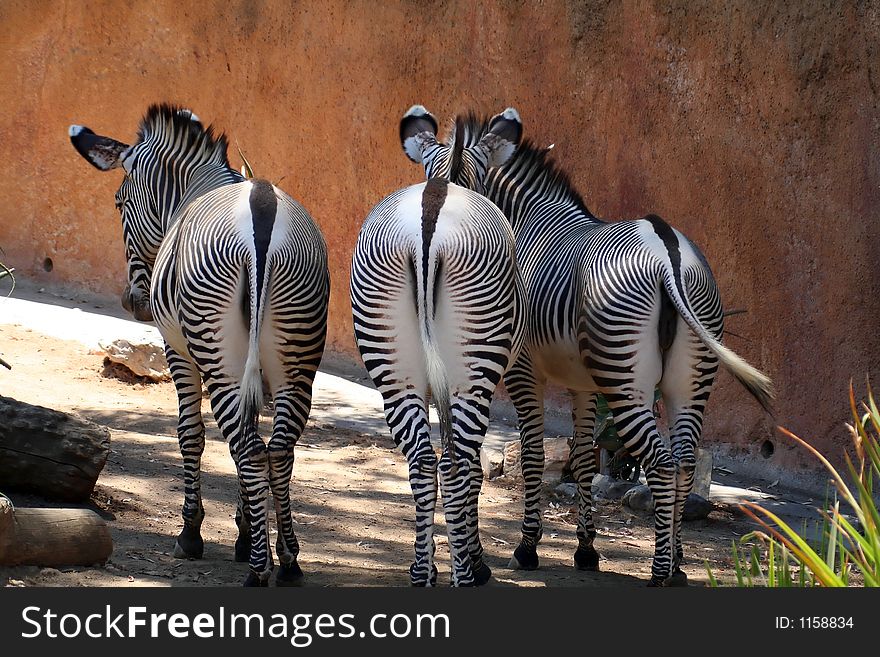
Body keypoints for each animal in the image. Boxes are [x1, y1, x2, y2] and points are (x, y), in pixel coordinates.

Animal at [69, 102, 328, 584]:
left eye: (119, 203)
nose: (132, 302)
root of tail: (262, 210)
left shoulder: (178, 351)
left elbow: (191, 434)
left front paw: (193, 534)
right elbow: (246, 441)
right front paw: (246, 532)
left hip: (217, 353)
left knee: (249, 447)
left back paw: (258, 570)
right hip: (296, 357)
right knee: (277, 449)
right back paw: (288, 561)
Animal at [350, 107, 524, 584]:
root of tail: (433, 204)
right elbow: (475, 468)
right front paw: (476, 561)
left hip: (393, 364)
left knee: (424, 461)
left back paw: (421, 573)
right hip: (475, 367)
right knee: (457, 463)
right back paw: (464, 575)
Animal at [410, 110, 772, 588]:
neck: (525, 221)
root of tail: (668, 251)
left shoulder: (524, 372)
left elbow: (533, 457)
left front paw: (527, 548)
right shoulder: (582, 384)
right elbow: (582, 458)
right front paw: (585, 549)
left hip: (626, 381)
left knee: (661, 464)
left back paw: (661, 571)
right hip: (688, 380)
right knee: (684, 463)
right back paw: (677, 563)